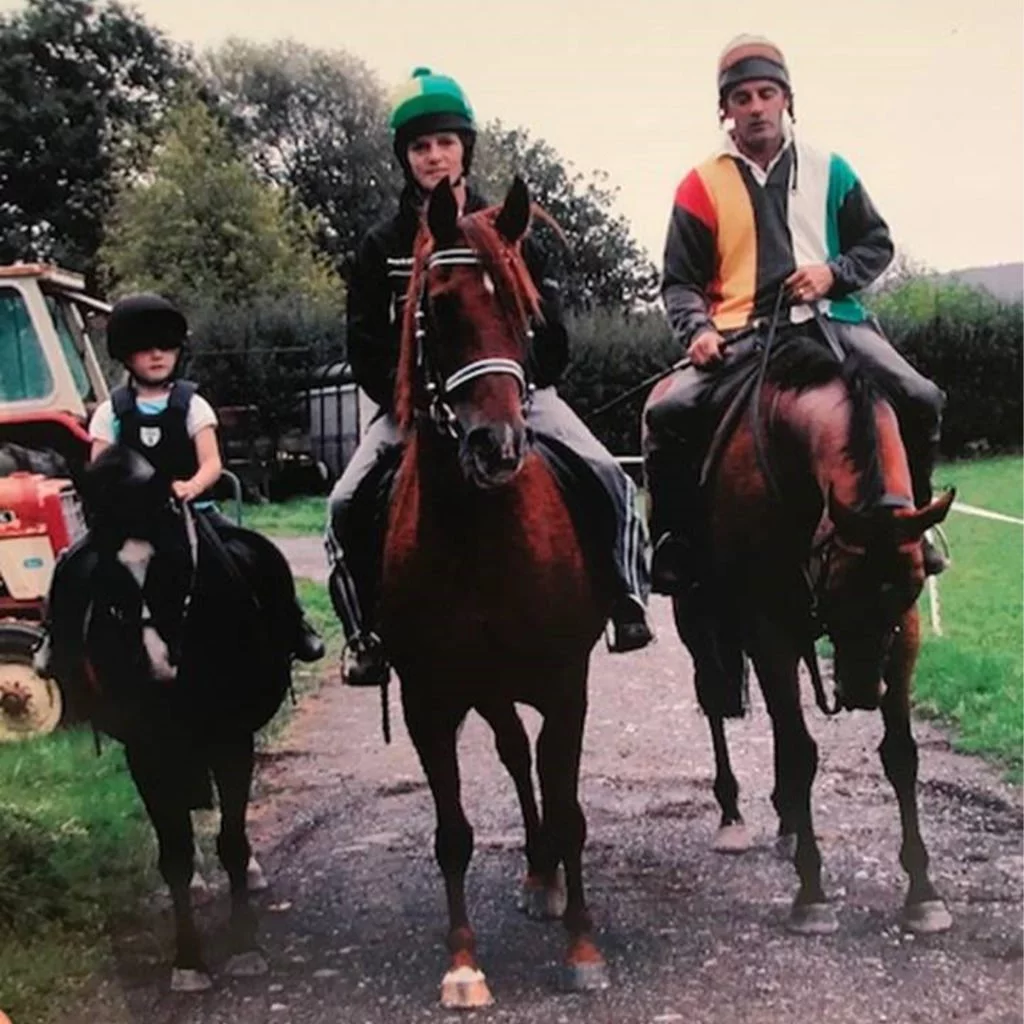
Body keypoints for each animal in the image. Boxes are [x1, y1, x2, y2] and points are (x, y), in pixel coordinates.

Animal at [40, 448, 296, 991]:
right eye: (105, 576)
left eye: (177, 564)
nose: (156, 665)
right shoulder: (146, 748)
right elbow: (174, 854)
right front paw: (189, 961)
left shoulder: (231, 739)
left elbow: (232, 841)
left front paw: (244, 947)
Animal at [380, 178, 606, 1007]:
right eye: (439, 309)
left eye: (525, 313)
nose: (498, 447)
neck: (480, 538)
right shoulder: (428, 701)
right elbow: (452, 833)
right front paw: (463, 964)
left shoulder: (567, 685)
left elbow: (569, 809)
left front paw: (583, 948)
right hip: (485, 688)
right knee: (514, 754)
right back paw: (536, 873)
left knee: (531, 762)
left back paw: (547, 880)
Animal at [651, 333, 954, 937]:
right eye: (840, 585)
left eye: (907, 589)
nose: (861, 690)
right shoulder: (770, 624)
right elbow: (800, 751)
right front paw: (811, 893)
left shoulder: (904, 631)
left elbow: (901, 754)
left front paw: (923, 893)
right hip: (696, 617)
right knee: (716, 703)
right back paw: (732, 815)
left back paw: (787, 819)